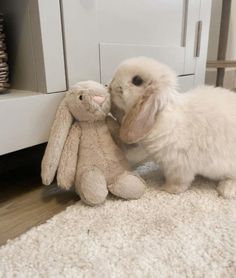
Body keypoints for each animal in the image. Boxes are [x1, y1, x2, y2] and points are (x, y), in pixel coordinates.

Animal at [109, 57, 236, 199]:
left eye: (137, 80)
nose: (111, 86)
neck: (160, 113)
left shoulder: (178, 164)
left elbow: (178, 182)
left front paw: (166, 189)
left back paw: (226, 190)